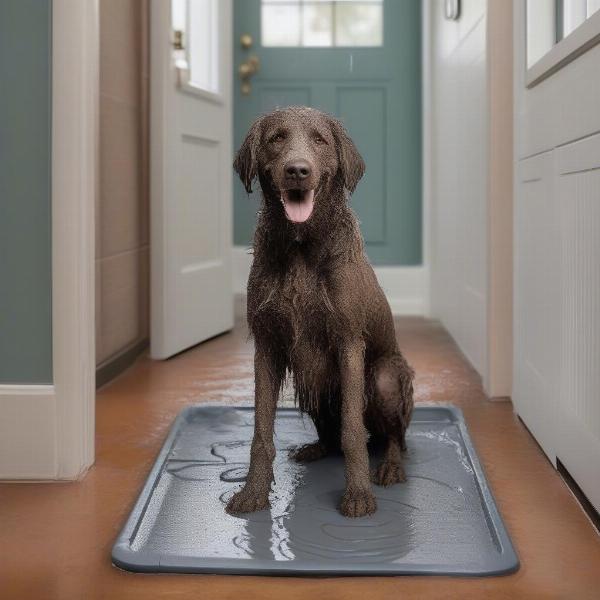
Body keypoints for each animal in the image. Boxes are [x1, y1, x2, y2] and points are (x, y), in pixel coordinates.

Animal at [225, 105, 412, 516]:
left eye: (320, 140)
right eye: (277, 137)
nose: (297, 170)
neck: (301, 247)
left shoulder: (349, 342)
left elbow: (352, 431)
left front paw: (358, 495)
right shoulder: (267, 346)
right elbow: (261, 429)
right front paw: (253, 491)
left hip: (385, 378)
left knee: (394, 439)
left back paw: (390, 466)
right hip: (308, 382)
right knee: (329, 434)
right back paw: (314, 449)